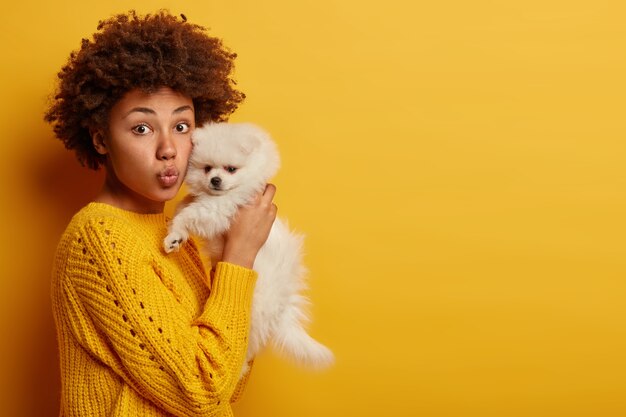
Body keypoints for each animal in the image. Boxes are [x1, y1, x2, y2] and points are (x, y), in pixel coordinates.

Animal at [163, 122, 334, 372]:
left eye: (231, 169)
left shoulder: (220, 209)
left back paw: (241, 368)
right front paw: (177, 234)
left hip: (255, 307)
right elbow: (186, 205)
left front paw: (174, 232)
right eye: (207, 169)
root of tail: (283, 304)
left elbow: (190, 214)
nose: (215, 180)